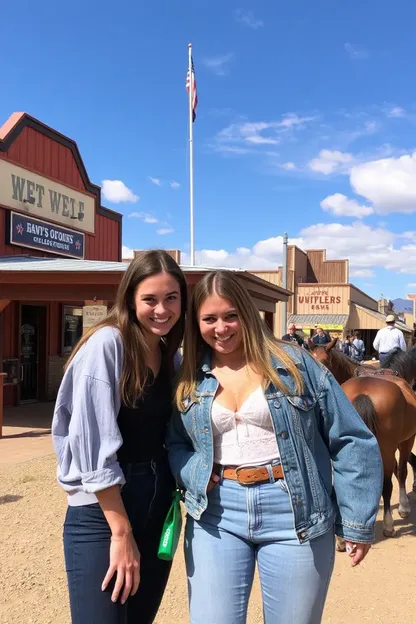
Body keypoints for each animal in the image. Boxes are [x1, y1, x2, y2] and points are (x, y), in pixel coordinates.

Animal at [308, 338, 416, 540]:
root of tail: (363, 393)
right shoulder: (406, 440)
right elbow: (401, 471)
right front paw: (404, 506)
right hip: (387, 448)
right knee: (387, 483)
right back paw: (388, 525)